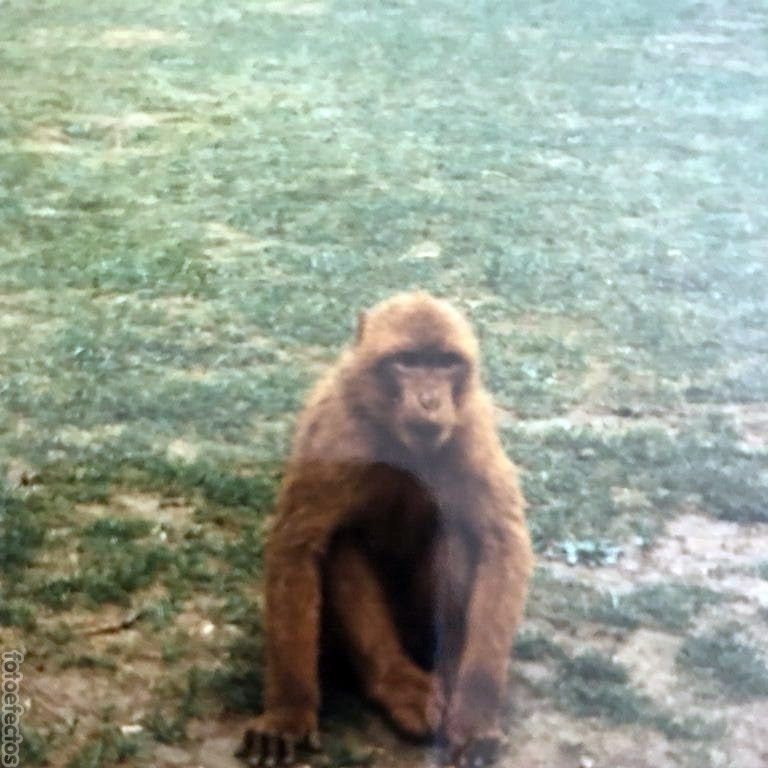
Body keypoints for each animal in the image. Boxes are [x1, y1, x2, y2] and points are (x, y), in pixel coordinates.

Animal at [237, 291, 533, 767]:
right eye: (407, 361)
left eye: (445, 362)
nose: (430, 400)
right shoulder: (336, 431)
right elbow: (297, 546)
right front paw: (288, 712)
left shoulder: (469, 428)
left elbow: (501, 541)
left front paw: (474, 716)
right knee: (340, 543)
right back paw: (395, 684)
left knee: (454, 534)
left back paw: (447, 672)